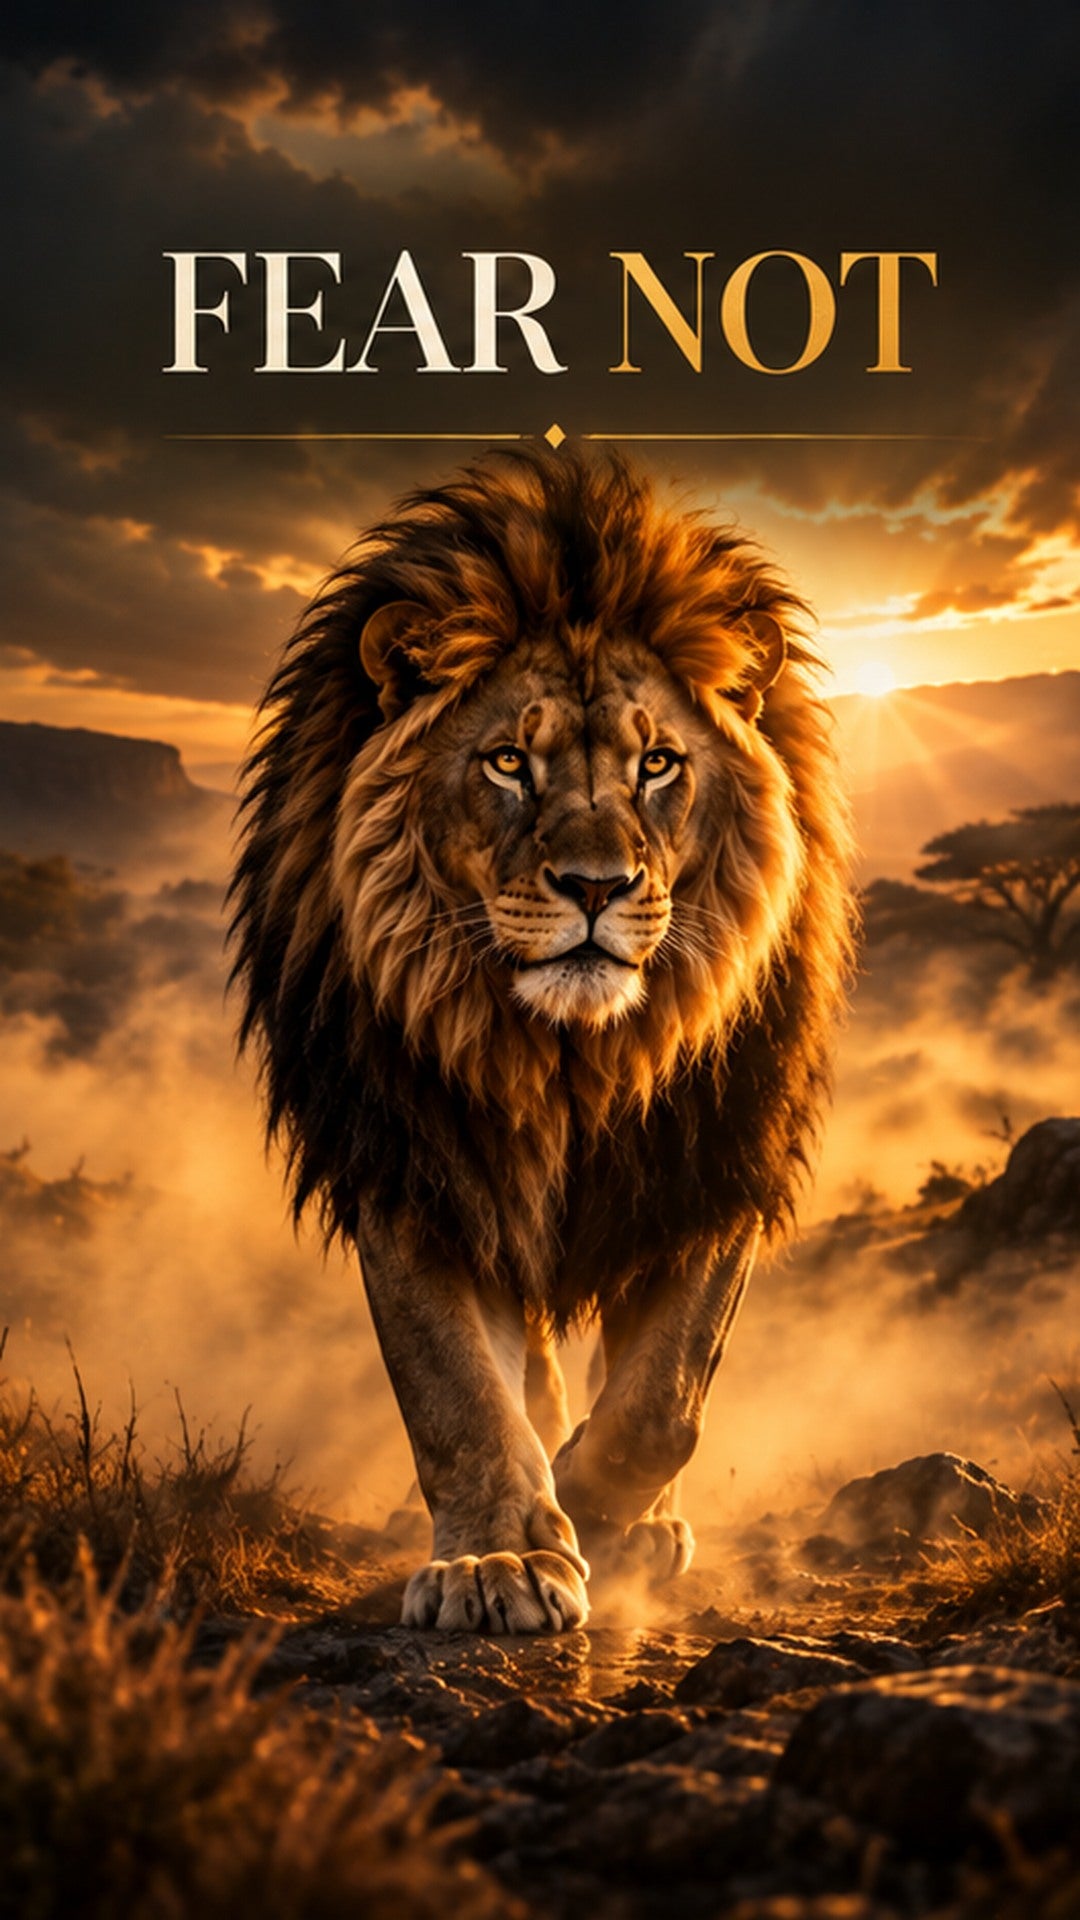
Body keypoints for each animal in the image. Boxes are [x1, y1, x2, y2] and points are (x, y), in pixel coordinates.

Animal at [229, 448, 853, 1633]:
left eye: (658, 765)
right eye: (509, 763)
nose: (596, 887)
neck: (570, 1056)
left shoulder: (713, 1160)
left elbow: (664, 1400)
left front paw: (602, 1528)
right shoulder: (409, 1162)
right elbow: (456, 1390)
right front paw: (501, 1557)